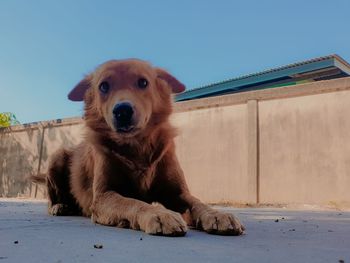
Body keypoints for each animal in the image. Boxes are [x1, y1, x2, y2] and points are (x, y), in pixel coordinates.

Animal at [32, 59, 246, 237]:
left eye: (143, 83)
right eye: (103, 86)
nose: (122, 111)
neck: (136, 147)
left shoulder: (178, 193)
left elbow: (197, 202)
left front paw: (217, 214)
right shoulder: (103, 196)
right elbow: (133, 202)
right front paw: (159, 214)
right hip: (57, 156)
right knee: (52, 198)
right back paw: (60, 206)